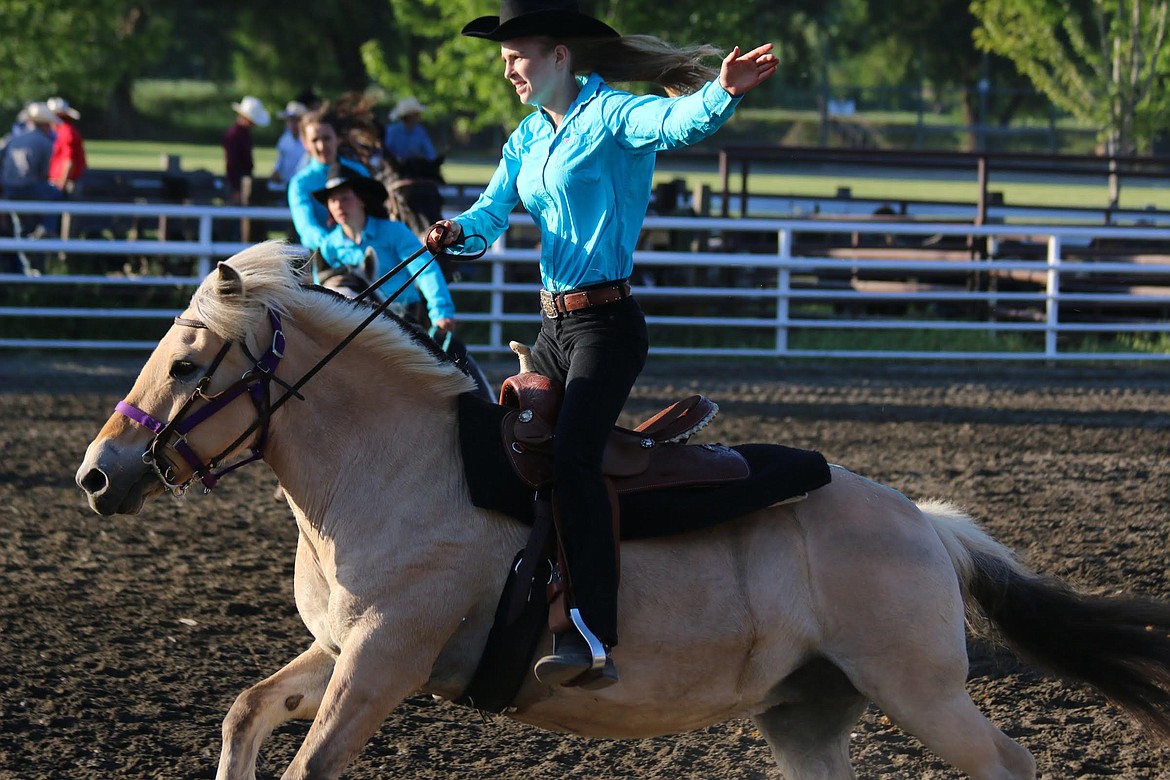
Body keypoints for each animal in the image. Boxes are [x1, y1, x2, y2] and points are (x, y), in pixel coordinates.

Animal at [75, 240, 1170, 776]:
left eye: (188, 362)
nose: (96, 473)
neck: (393, 469)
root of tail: (927, 527)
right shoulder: (346, 647)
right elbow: (246, 712)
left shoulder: (384, 658)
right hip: (808, 714)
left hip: (926, 693)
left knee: (1011, 763)